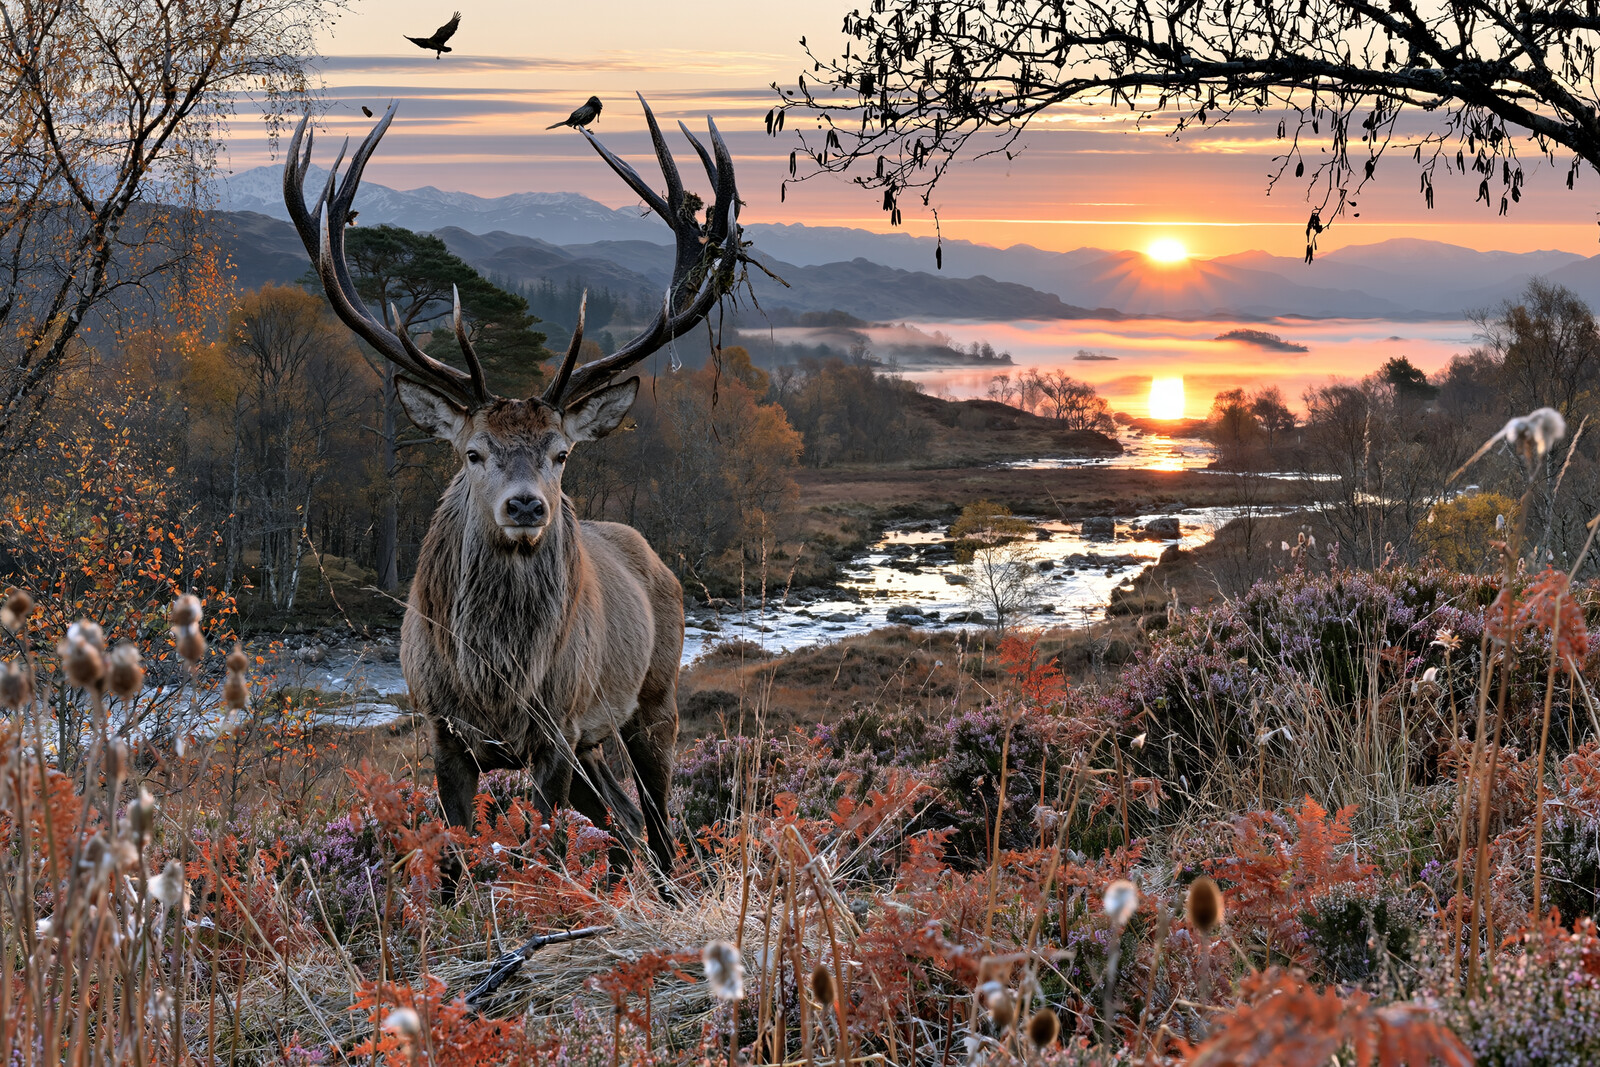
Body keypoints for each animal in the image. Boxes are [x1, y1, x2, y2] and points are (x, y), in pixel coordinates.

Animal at [282, 96, 749, 899]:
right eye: (472, 453)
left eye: (562, 454)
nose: (527, 506)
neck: (495, 684)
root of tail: (653, 558)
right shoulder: (442, 730)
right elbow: (452, 857)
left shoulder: (556, 730)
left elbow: (542, 849)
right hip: (596, 743)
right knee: (626, 818)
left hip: (652, 699)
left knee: (662, 824)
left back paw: (665, 889)